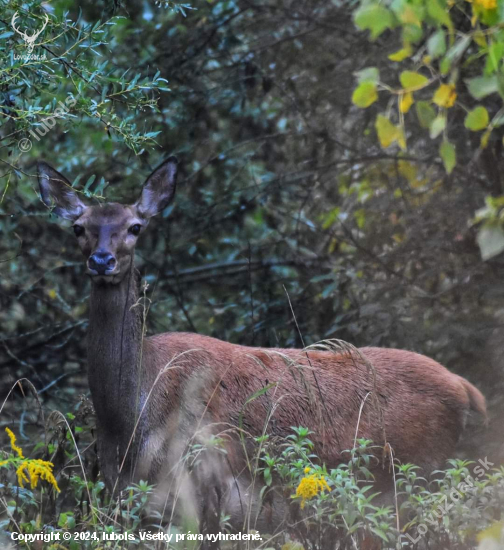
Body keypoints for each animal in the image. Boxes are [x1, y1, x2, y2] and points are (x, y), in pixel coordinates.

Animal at [39, 160, 488, 548]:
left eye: (135, 226)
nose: (102, 260)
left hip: (414, 474)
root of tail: (466, 388)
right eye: (78, 227)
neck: (128, 423)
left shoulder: (208, 488)